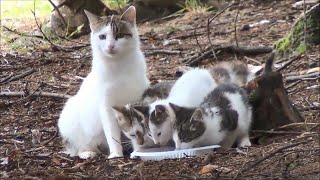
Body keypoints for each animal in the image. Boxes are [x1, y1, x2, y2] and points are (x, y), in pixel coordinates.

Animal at [57, 6, 149, 160]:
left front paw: (139, 150)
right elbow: (112, 133)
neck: (119, 66)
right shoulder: (106, 106)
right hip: (70, 116)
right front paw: (116, 154)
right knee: (76, 148)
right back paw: (87, 153)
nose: (110, 46)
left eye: (120, 35)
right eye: (102, 37)